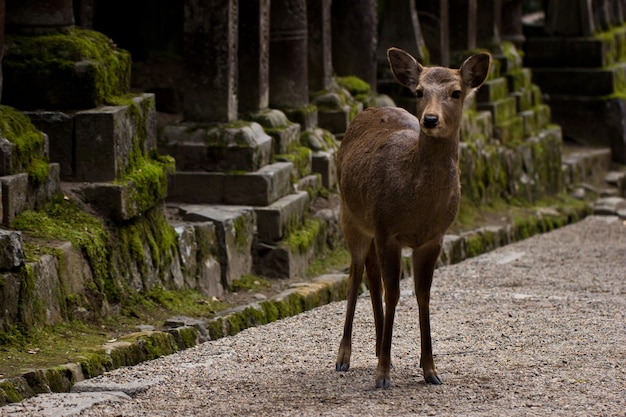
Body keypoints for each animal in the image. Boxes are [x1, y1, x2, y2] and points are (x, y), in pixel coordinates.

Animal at [334, 47, 490, 388]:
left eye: (456, 92)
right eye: (419, 91)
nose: (430, 119)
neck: (419, 209)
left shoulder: (434, 238)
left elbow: (423, 294)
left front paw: (430, 370)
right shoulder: (387, 231)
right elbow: (394, 293)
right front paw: (382, 375)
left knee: (372, 276)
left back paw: (381, 349)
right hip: (350, 216)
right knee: (355, 275)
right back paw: (344, 358)